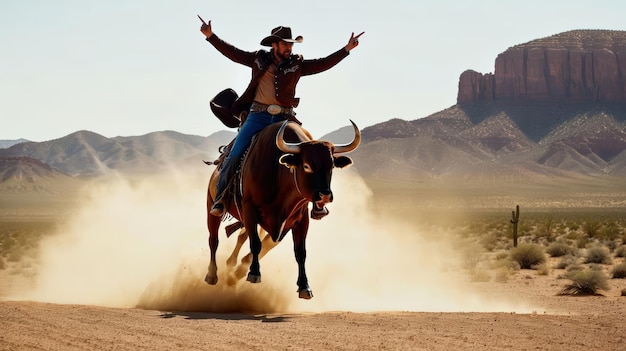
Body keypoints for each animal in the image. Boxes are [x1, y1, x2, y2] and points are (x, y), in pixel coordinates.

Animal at [205, 119, 358, 298]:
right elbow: (256, 243)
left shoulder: (299, 220)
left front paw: (304, 286)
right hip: (211, 207)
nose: (325, 196)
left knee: (242, 237)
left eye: (332, 166)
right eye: (306, 166)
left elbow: (299, 251)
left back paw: (232, 264)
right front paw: (253, 273)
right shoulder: (250, 210)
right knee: (214, 239)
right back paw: (212, 274)